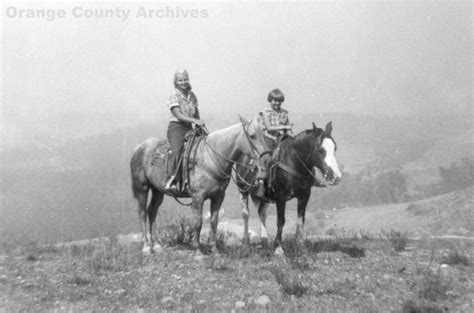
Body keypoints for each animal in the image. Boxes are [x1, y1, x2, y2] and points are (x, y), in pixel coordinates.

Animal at [130, 116, 270, 255]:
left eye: (264, 134)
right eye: (252, 136)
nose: (267, 159)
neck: (210, 158)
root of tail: (139, 147)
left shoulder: (218, 196)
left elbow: (214, 221)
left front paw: (214, 249)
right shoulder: (198, 197)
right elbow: (197, 223)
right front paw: (198, 252)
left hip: (158, 191)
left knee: (152, 211)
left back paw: (156, 245)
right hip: (142, 188)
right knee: (142, 212)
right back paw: (146, 246)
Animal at [236, 122, 340, 254]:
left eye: (334, 148)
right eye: (320, 150)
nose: (336, 177)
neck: (293, 162)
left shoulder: (305, 195)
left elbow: (300, 220)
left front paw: (301, 245)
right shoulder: (280, 196)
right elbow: (281, 221)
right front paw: (278, 248)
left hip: (263, 197)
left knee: (262, 213)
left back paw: (264, 240)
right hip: (242, 189)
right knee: (245, 214)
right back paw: (245, 244)